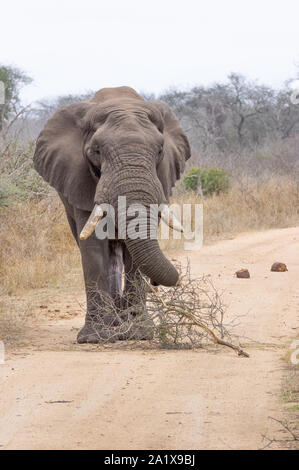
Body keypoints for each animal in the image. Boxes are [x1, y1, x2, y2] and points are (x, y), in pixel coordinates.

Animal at [34, 86, 191, 344]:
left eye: (160, 150)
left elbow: (136, 254)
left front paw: (140, 333)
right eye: (96, 151)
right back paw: (115, 322)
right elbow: (93, 246)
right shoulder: (81, 180)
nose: (159, 282)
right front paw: (95, 338)